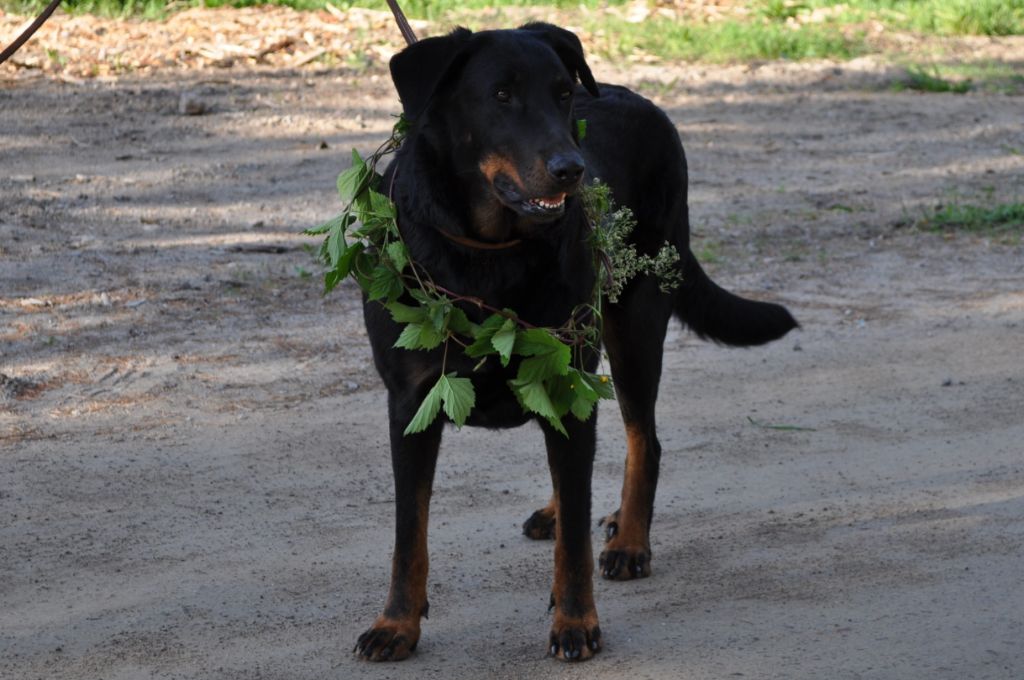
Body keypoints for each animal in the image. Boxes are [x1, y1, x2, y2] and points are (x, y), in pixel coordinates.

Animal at [354, 23, 798, 659]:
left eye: (563, 95)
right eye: (502, 95)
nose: (573, 168)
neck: (489, 252)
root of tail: (644, 101)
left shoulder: (568, 382)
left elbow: (576, 545)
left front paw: (575, 620)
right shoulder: (411, 403)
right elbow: (408, 534)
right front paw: (397, 624)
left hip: (635, 323)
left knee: (643, 441)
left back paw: (629, 541)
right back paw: (559, 513)